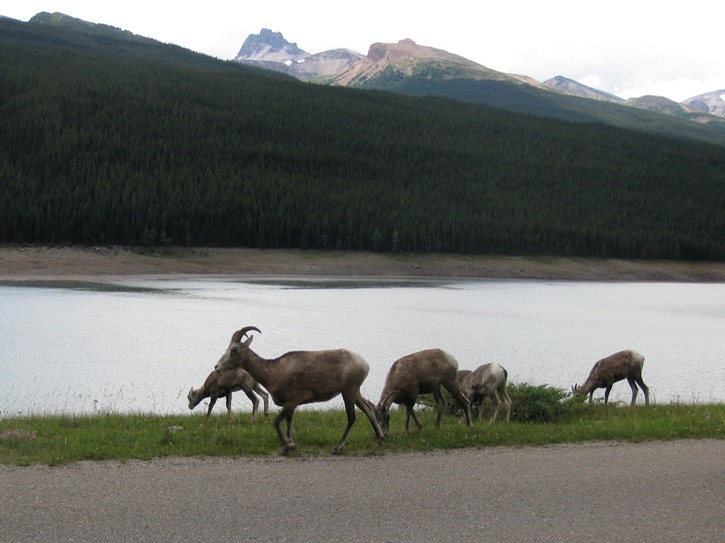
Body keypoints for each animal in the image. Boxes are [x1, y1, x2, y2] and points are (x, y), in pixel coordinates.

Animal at [215, 328, 384, 454]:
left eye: (234, 349)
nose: (217, 367)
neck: (271, 373)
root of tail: (364, 364)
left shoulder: (292, 401)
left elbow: (277, 422)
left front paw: (289, 445)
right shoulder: (291, 405)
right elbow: (288, 423)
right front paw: (288, 448)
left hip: (348, 392)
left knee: (352, 418)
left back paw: (337, 448)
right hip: (355, 392)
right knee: (369, 410)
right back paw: (380, 440)